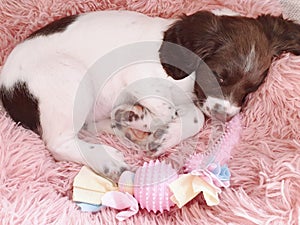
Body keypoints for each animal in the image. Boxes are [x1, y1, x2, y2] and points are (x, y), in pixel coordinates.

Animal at [0, 10, 300, 181]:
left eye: (252, 88)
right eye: (219, 76)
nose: (224, 117)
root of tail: (6, 87)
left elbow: (194, 117)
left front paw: (158, 132)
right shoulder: (138, 80)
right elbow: (176, 112)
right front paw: (157, 127)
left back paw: (127, 122)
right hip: (70, 79)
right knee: (57, 142)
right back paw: (110, 160)